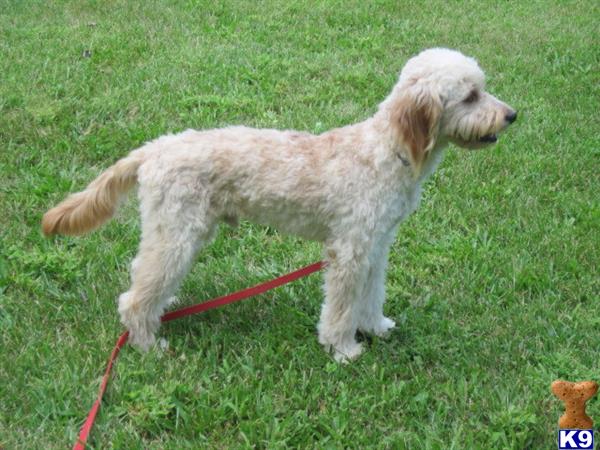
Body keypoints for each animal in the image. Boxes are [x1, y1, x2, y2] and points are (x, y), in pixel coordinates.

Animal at [41, 47, 516, 362]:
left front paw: (375, 326)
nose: (512, 115)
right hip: (178, 234)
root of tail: (153, 149)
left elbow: (371, 293)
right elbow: (341, 306)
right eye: (471, 95)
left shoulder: (376, 245)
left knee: (144, 277)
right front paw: (343, 348)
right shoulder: (349, 250)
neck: (387, 151)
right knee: (134, 296)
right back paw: (147, 343)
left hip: (176, 232)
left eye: (483, 88)